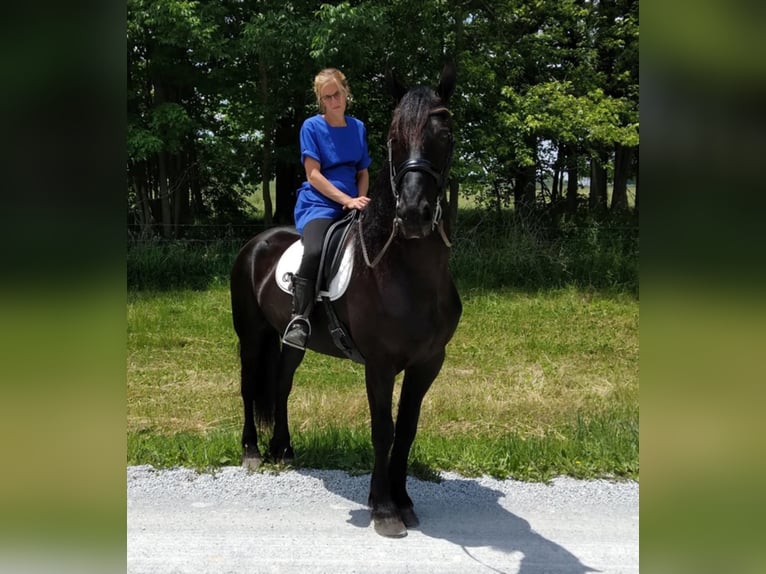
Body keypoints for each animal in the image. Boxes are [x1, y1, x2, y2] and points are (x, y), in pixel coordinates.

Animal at [230, 64, 462, 540]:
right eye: (393, 136)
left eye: (444, 131)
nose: (413, 214)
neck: (406, 273)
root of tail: (256, 243)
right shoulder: (380, 364)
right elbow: (383, 429)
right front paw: (384, 509)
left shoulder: (429, 362)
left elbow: (406, 429)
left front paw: (404, 500)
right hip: (251, 335)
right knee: (248, 386)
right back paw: (252, 451)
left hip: (289, 341)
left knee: (281, 384)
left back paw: (283, 449)